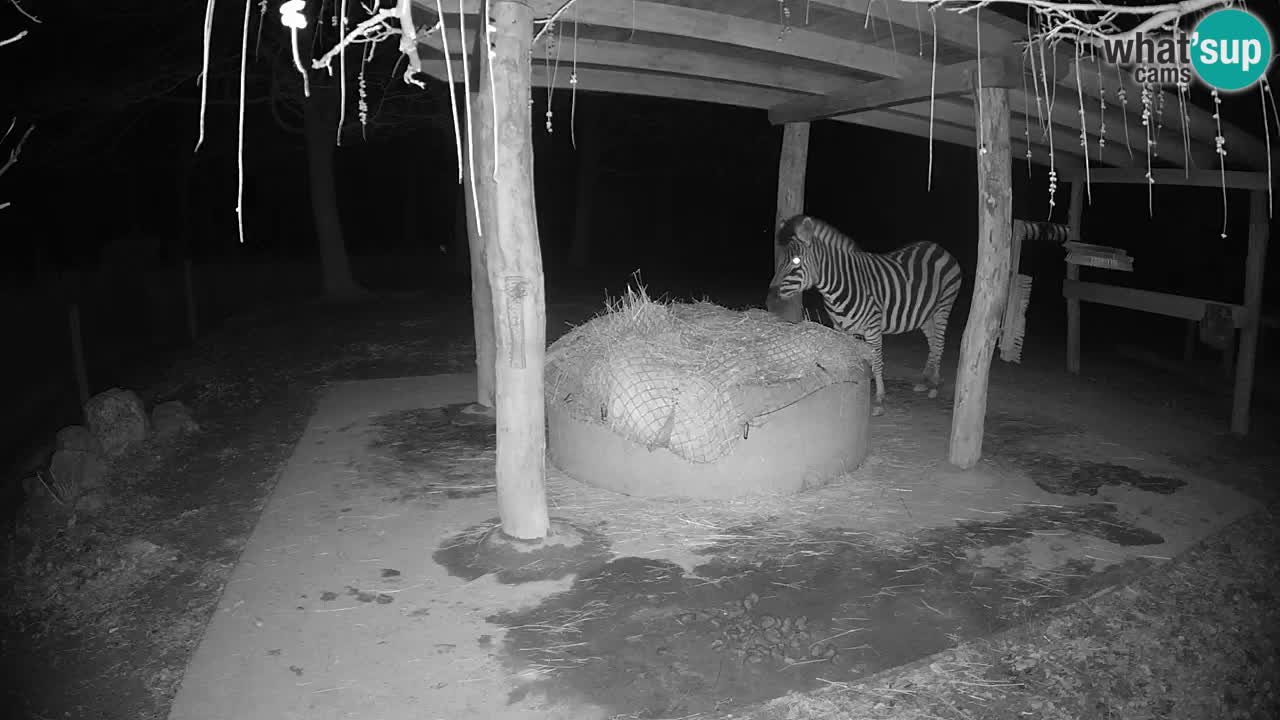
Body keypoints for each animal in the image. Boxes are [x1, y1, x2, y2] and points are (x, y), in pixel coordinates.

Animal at [768, 212, 962, 415]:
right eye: (780, 260)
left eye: (796, 261)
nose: (770, 300)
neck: (838, 288)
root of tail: (937, 247)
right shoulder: (841, 328)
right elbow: (848, 359)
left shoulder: (873, 328)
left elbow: (876, 361)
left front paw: (879, 399)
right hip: (924, 314)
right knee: (932, 341)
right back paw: (925, 380)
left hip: (943, 306)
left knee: (939, 342)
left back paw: (934, 386)